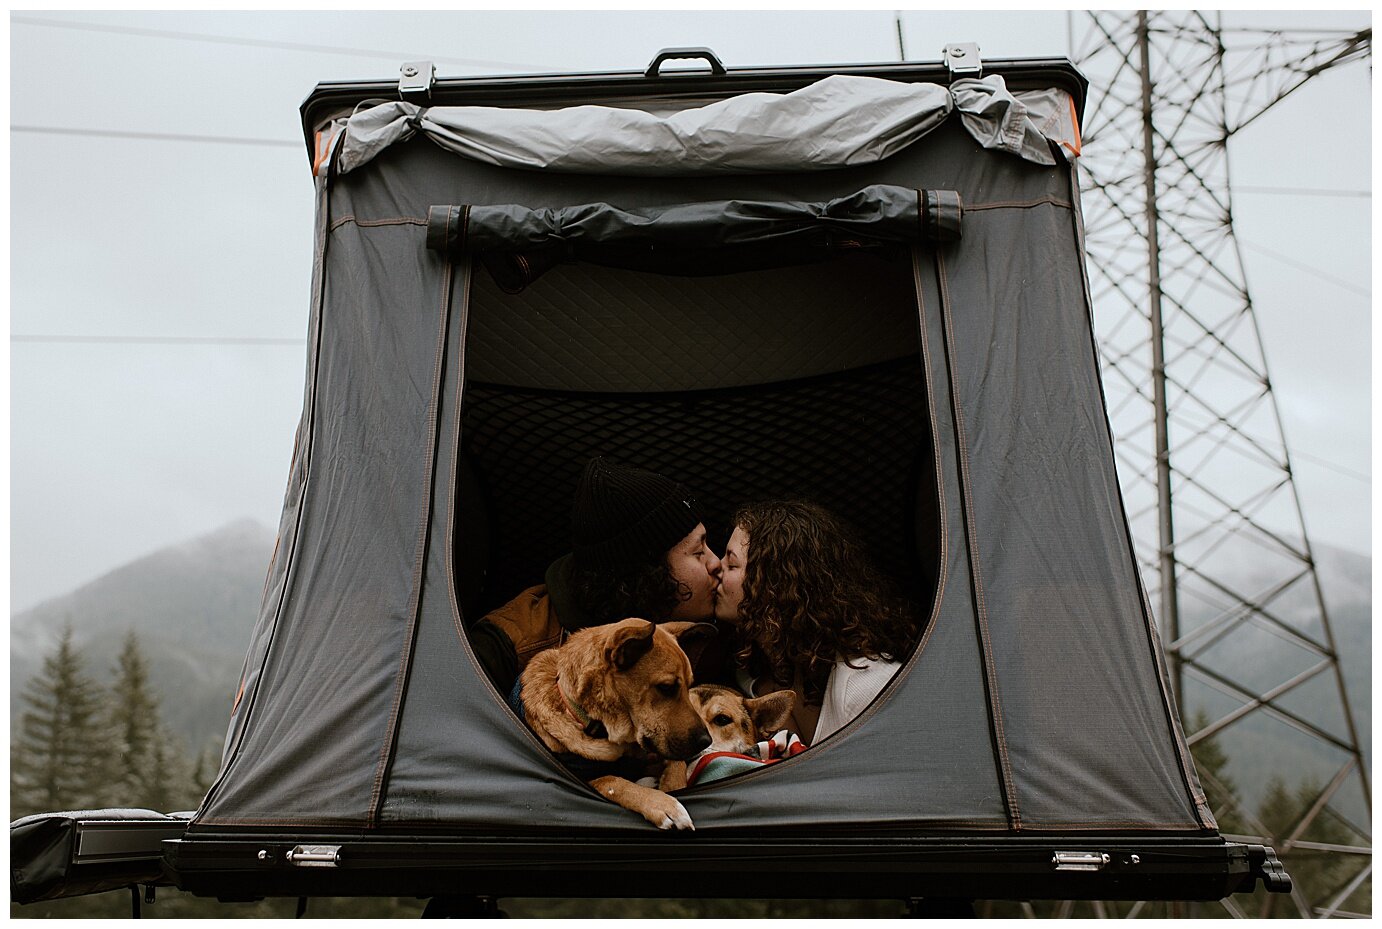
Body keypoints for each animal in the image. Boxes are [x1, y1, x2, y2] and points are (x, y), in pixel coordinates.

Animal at [519, 619, 713, 829]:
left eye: (689, 686)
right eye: (666, 687)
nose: (707, 741)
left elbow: (677, 762)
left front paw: (672, 784)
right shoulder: (585, 779)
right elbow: (612, 781)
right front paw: (663, 804)